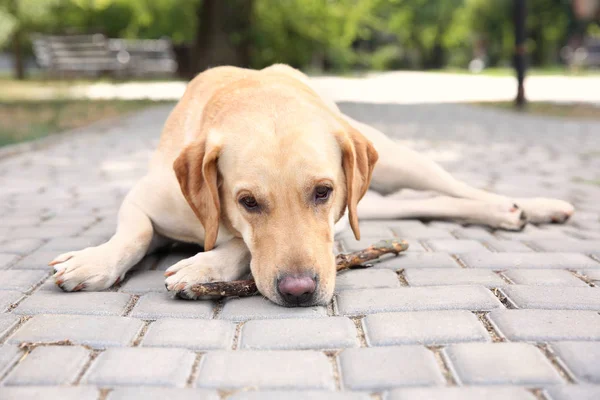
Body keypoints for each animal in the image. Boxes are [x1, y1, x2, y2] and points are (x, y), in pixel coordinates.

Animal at [49, 65, 576, 306]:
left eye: (323, 192)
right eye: (246, 201)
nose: (300, 291)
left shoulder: (334, 218)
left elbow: (238, 247)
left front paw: (203, 265)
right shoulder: (145, 197)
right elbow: (136, 231)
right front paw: (94, 260)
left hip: (397, 159)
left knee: (461, 188)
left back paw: (523, 206)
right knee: (429, 201)